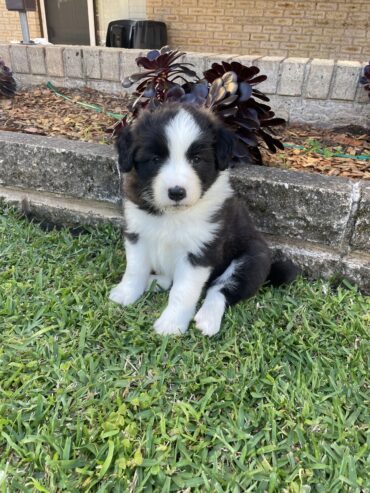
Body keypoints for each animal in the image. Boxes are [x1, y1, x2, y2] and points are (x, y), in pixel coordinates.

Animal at [108, 103, 296, 334]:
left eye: (196, 159)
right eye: (155, 159)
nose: (176, 192)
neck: (173, 214)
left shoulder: (200, 252)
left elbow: (183, 291)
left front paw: (171, 324)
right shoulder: (137, 234)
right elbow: (135, 269)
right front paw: (126, 293)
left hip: (252, 259)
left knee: (220, 290)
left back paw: (207, 319)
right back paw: (155, 281)